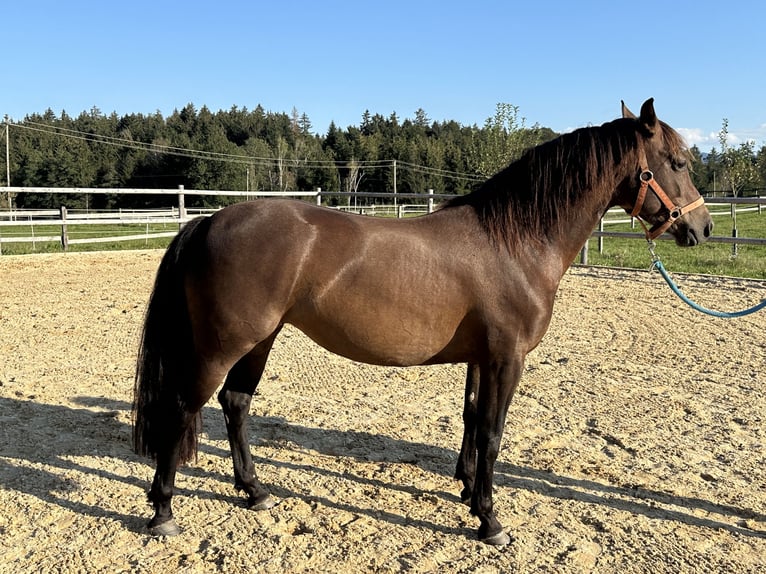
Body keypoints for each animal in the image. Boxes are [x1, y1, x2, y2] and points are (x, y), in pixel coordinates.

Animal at [132, 100, 712, 548]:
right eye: (678, 161)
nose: (703, 228)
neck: (516, 242)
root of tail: (207, 221)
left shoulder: (481, 359)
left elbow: (473, 422)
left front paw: (468, 492)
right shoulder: (506, 359)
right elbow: (494, 433)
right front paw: (490, 521)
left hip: (259, 341)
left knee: (235, 404)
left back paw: (255, 491)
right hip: (223, 346)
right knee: (182, 409)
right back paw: (162, 512)